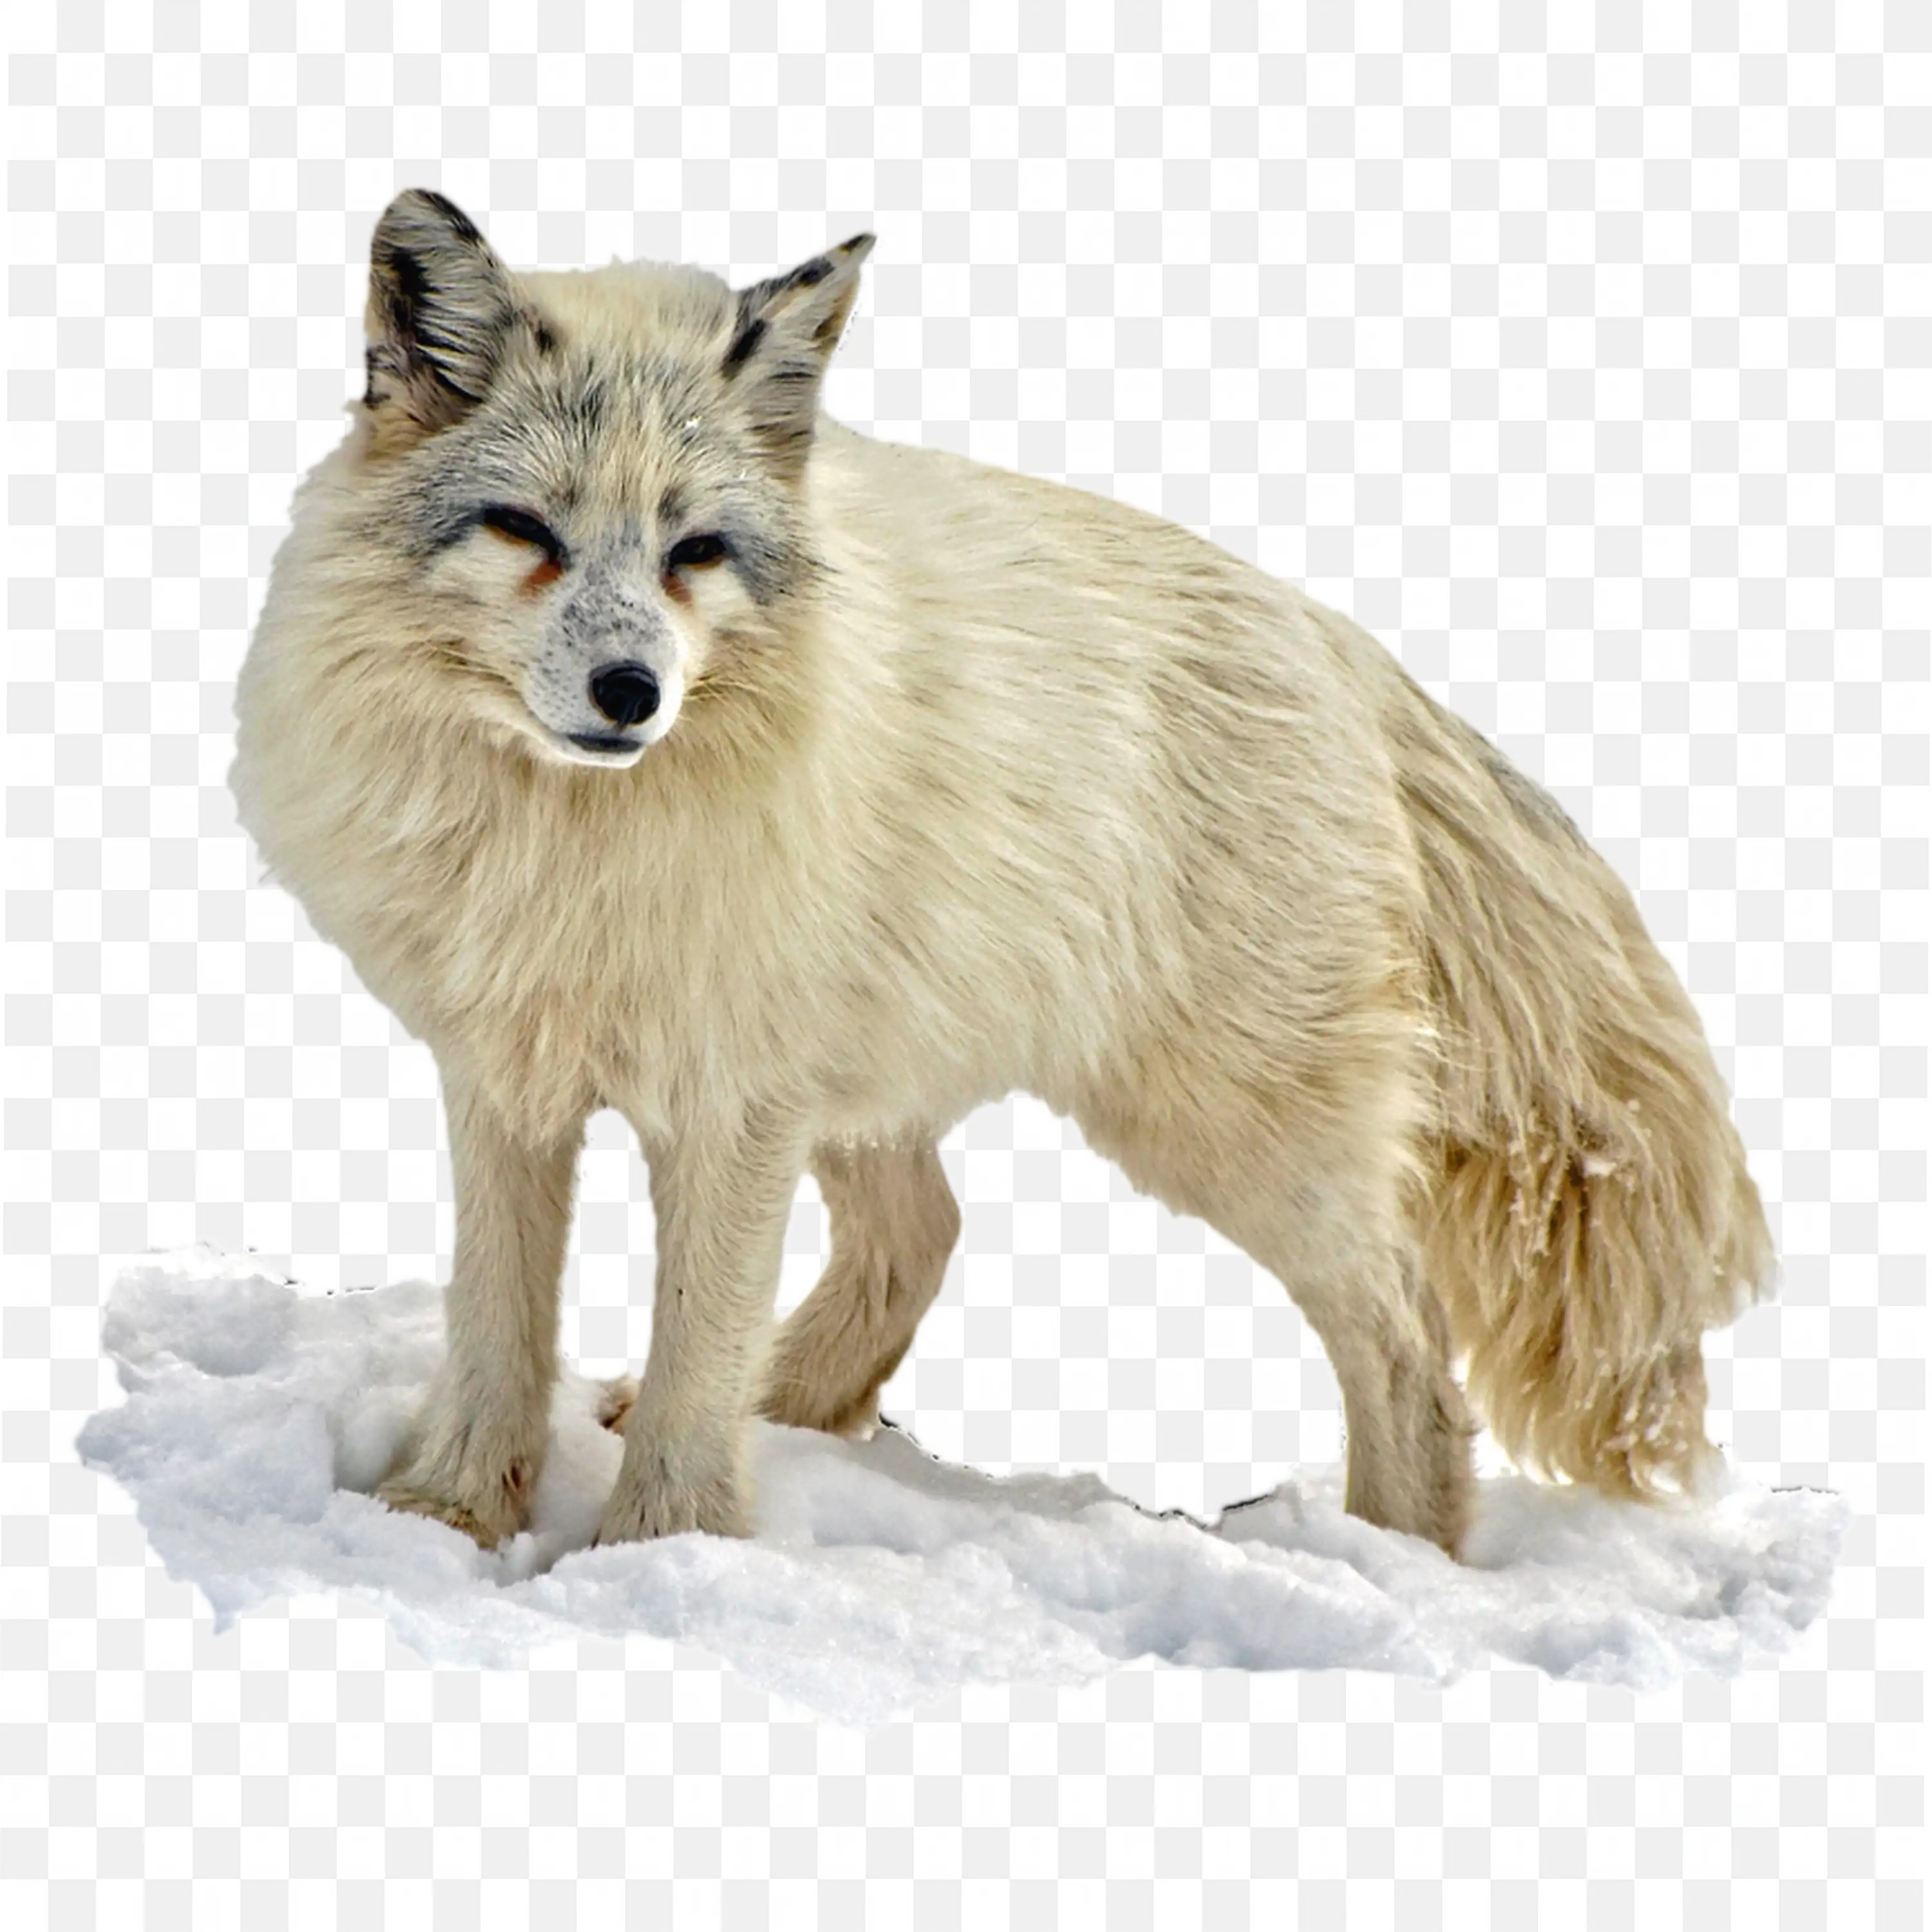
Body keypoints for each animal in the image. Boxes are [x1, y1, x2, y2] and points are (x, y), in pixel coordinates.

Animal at [230, 187, 1774, 1558]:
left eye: (695, 553)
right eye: (525, 532)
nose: (630, 695)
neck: (570, 845)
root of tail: (1342, 645)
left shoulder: (730, 1106)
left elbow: (694, 1357)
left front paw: (657, 1554)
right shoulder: (509, 1076)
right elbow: (498, 1326)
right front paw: (445, 1518)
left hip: (1230, 1133)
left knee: (1410, 1350)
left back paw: (1395, 1563)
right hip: (891, 1087)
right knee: (929, 1236)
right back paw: (796, 1413)